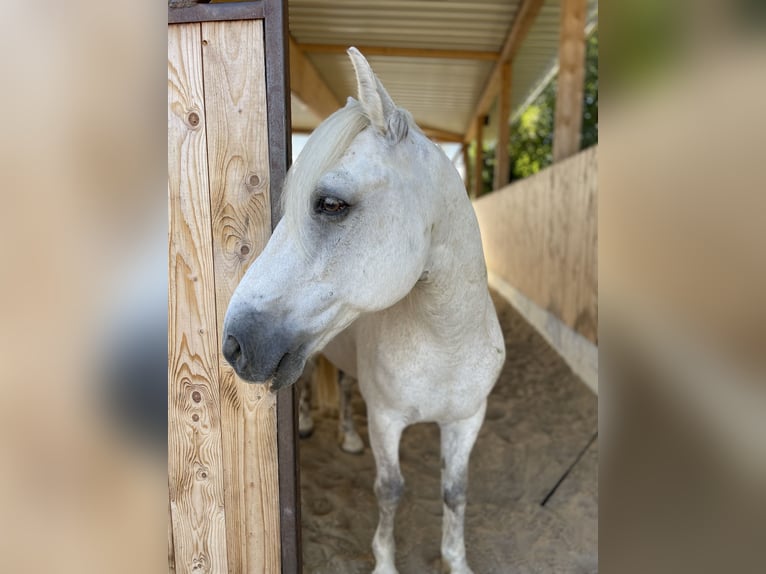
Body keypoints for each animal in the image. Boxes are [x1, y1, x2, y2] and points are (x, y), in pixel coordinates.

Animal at [224, 48, 504, 574]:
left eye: (331, 203)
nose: (233, 344)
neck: (448, 343)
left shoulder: (466, 420)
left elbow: (455, 492)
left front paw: (456, 560)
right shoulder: (387, 420)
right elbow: (390, 491)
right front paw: (385, 562)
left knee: (346, 388)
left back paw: (349, 438)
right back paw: (310, 425)